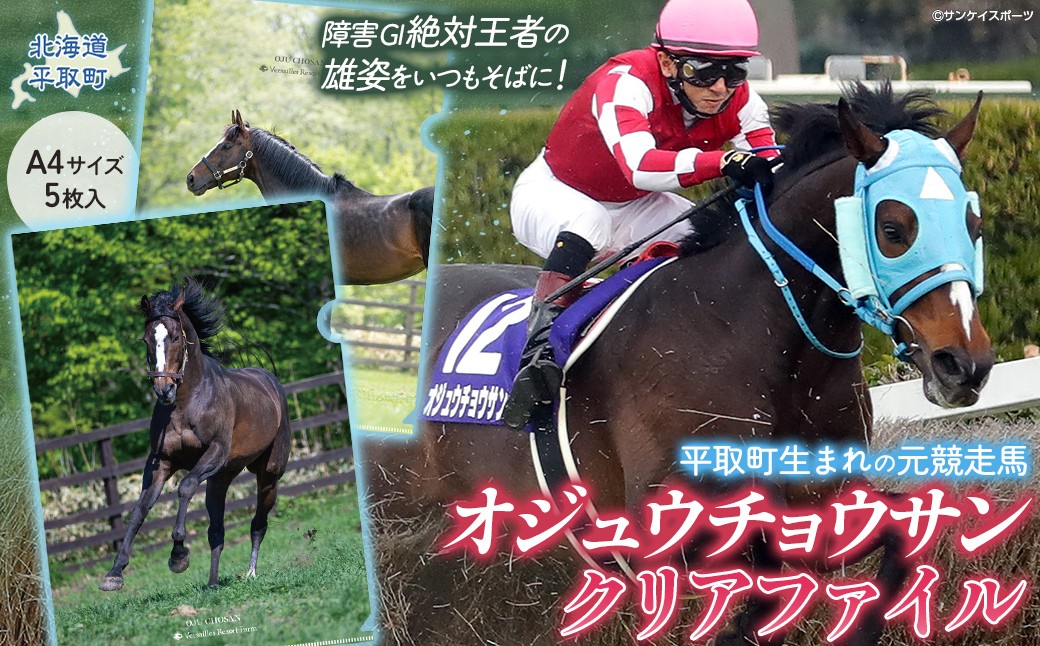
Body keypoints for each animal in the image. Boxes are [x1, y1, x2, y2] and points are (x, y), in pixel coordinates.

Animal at [100, 278, 291, 591]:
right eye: (146, 340)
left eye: (176, 337)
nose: (163, 389)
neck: (187, 403)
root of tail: (269, 380)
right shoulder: (161, 463)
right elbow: (141, 508)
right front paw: (114, 573)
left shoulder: (213, 453)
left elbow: (186, 486)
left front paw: (178, 556)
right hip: (220, 479)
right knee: (217, 532)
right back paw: (213, 584)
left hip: (269, 475)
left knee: (258, 523)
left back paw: (250, 573)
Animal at [359, 84, 994, 645]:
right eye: (893, 229)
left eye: (973, 224)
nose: (965, 365)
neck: (755, 339)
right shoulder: (674, 537)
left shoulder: (822, 500)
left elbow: (897, 539)